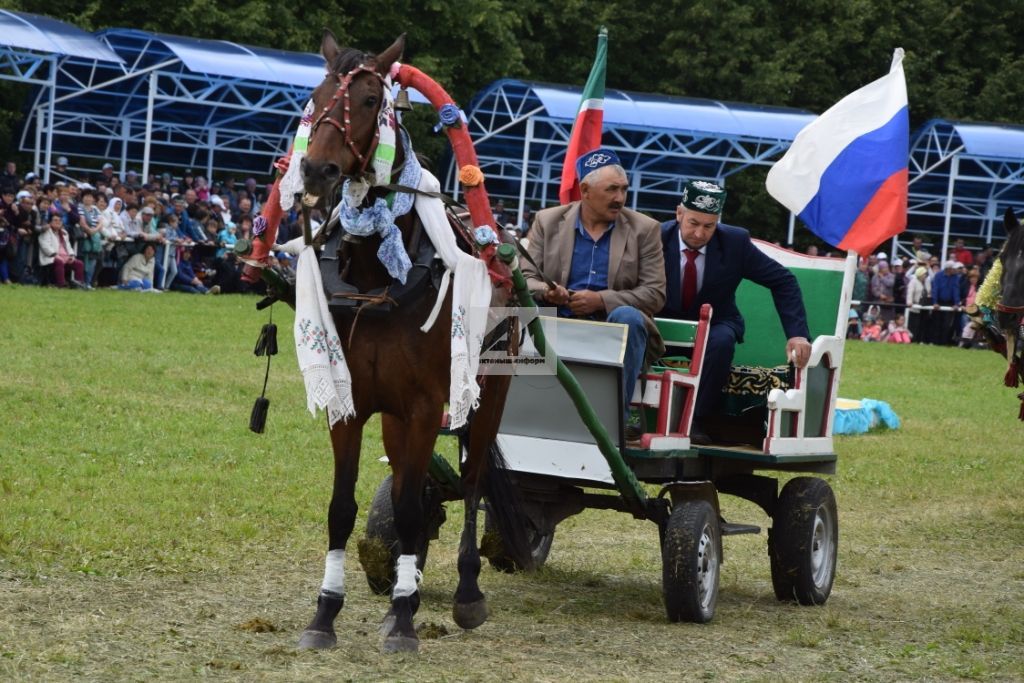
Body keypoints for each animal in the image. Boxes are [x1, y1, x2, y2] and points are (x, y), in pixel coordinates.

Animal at [292, 30, 528, 651]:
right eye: (316, 96)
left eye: (372, 99)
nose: (316, 169)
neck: (379, 278)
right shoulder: (353, 404)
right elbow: (345, 507)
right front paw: (326, 612)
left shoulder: (426, 406)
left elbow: (409, 507)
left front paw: (402, 616)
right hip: (398, 418)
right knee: (409, 481)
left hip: (489, 394)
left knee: (471, 483)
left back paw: (466, 592)